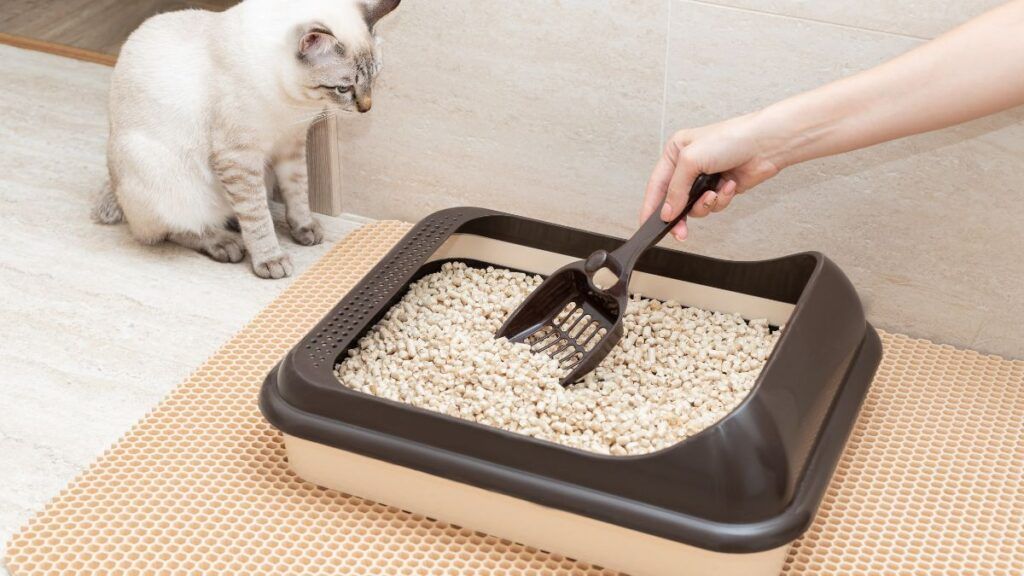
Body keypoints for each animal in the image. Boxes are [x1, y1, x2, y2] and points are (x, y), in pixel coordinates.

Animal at [94, 0, 399, 278]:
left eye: (373, 78)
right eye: (343, 88)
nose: (366, 108)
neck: (294, 103)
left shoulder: (290, 143)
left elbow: (298, 193)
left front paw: (304, 229)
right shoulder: (238, 157)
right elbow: (257, 217)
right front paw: (270, 260)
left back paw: (231, 224)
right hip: (160, 174)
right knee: (170, 231)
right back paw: (225, 243)